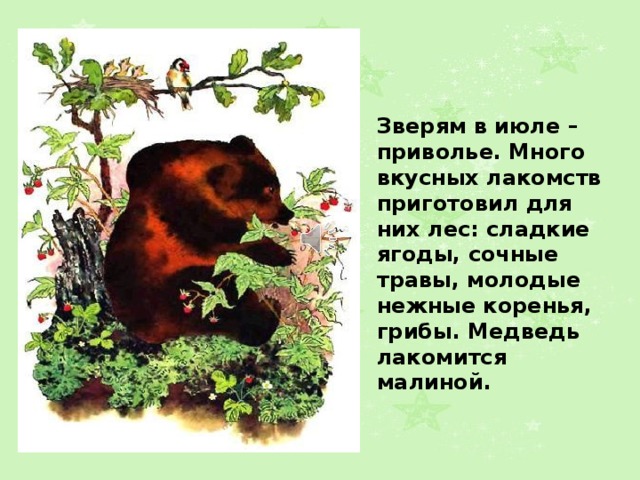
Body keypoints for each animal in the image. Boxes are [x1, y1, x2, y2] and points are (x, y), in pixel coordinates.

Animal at [104, 135, 294, 346]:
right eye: (270, 189)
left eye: (276, 185)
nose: (287, 213)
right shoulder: (186, 210)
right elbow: (229, 235)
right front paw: (283, 254)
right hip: (179, 289)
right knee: (229, 302)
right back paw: (271, 308)